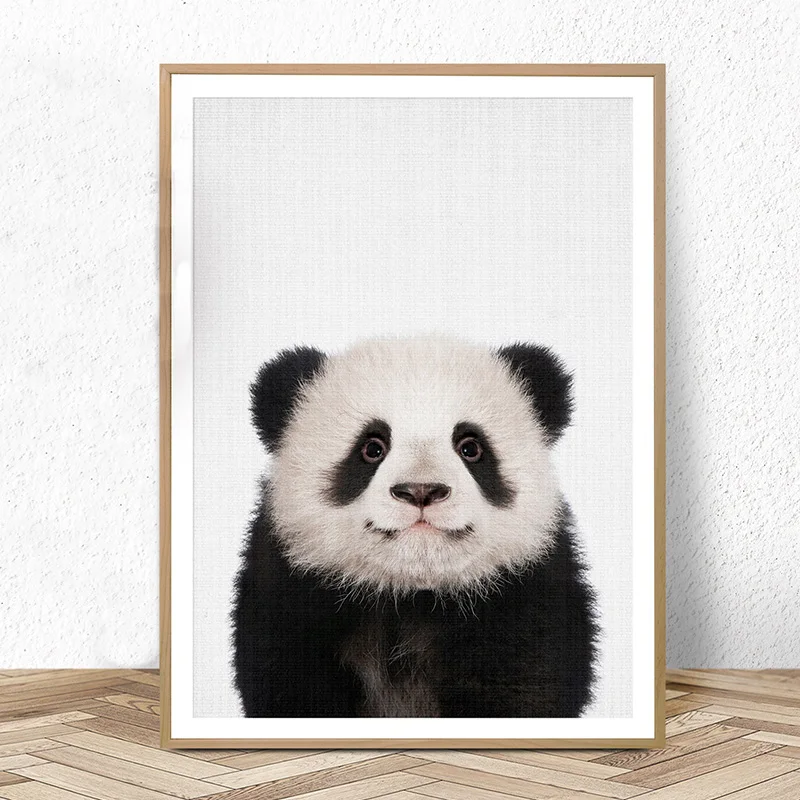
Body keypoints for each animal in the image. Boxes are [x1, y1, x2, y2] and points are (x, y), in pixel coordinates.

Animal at [233, 336, 598, 718]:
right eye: (372, 448)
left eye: (470, 447)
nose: (421, 490)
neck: (410, 595)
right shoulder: (291, 599)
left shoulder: (523, 601)